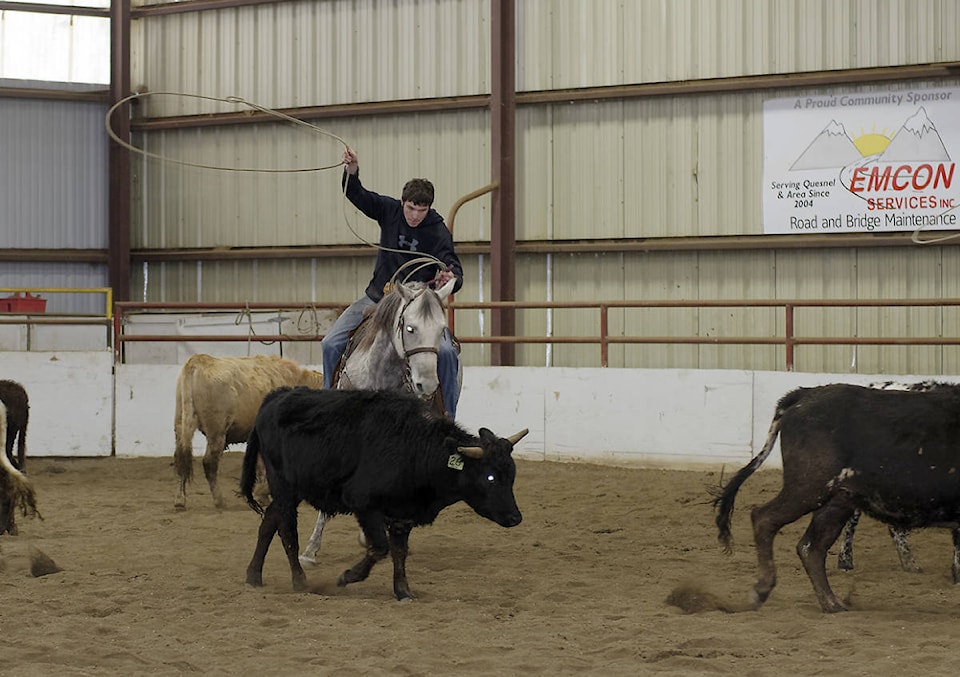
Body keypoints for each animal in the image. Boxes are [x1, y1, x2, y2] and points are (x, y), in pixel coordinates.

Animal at [178, 354, 328, 508]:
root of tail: (198, 360)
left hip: (181, 424)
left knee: (181, 458)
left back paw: (180, 500)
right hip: (217, 432)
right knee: (209, 463)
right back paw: (219, 500)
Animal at [239, 382, 524, 600]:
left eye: (511, 476)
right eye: (490, 478)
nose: (515, 518)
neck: (415, 447)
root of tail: (276, 396)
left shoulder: (402, 513)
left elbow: (399, 551)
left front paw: (403, 591)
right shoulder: (364, 505)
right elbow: (379, 547)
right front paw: (347, 576)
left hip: (293, 488)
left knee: (269, 521)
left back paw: (253, 575)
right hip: (283, 485)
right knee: (287, 530)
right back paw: (300, 581)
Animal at [716, 380, 960, 612]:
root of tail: (805, 394)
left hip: (838, 501)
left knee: (811, 548)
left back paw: (831, 603)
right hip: (808, 488)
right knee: (764, 518)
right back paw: (762, 590)